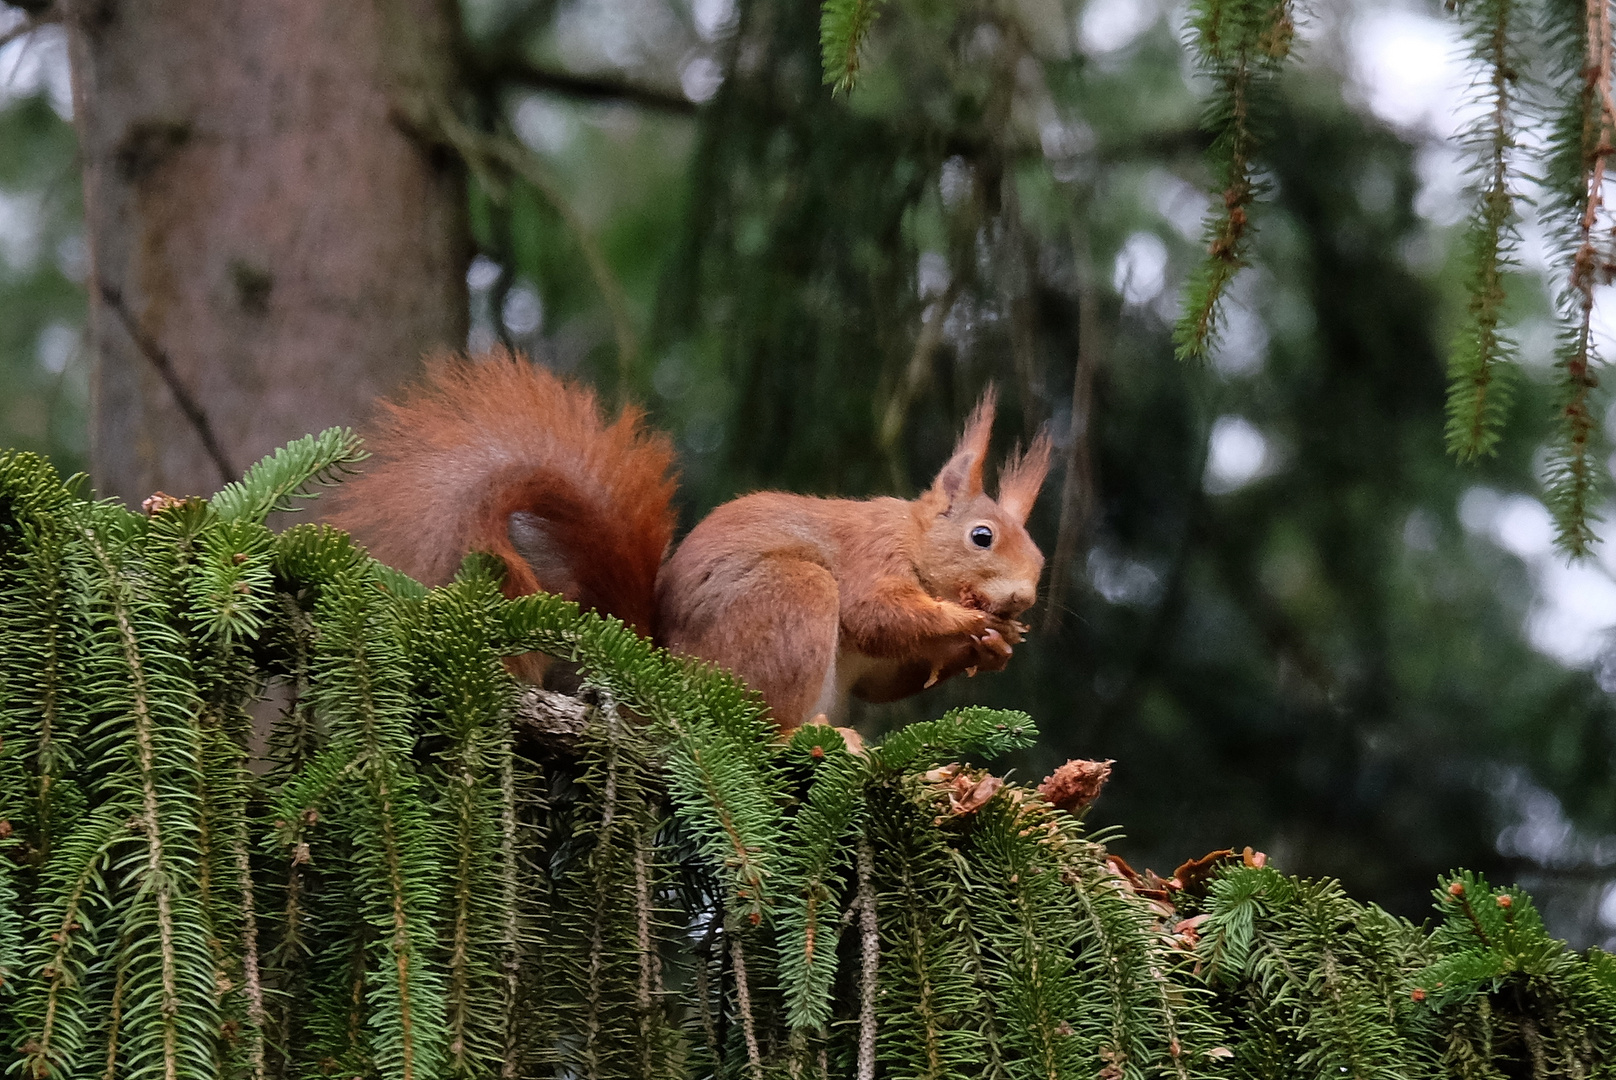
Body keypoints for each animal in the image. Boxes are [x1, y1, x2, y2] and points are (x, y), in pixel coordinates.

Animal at [332, 350, 1053, 730]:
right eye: (982, 536)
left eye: (1041, 559)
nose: (1022, 600)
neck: (911, 535)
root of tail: (671, 675)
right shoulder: (869, 560)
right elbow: (875, 614)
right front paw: (965, 622)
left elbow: (882, 679)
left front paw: (991, 649)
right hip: (790, 600)